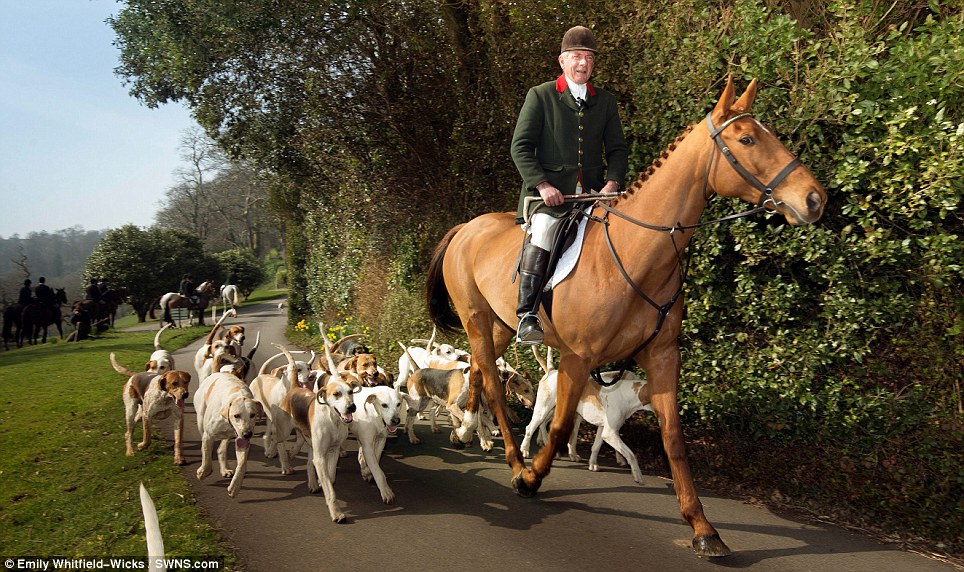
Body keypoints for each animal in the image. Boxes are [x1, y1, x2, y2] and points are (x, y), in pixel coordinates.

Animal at [430, 78, 828, 556]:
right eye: (748, 139)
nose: (814, 199)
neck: (639, 252)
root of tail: (466, 228)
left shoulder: (662, 356)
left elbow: (673, 438)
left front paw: (702, 527)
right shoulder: (578, 358)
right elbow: (560, 428)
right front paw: (530, 478)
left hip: (500, 325)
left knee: (475, 370)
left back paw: (469, 430)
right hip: (476, 319)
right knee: (490, 378)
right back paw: (511, 458)